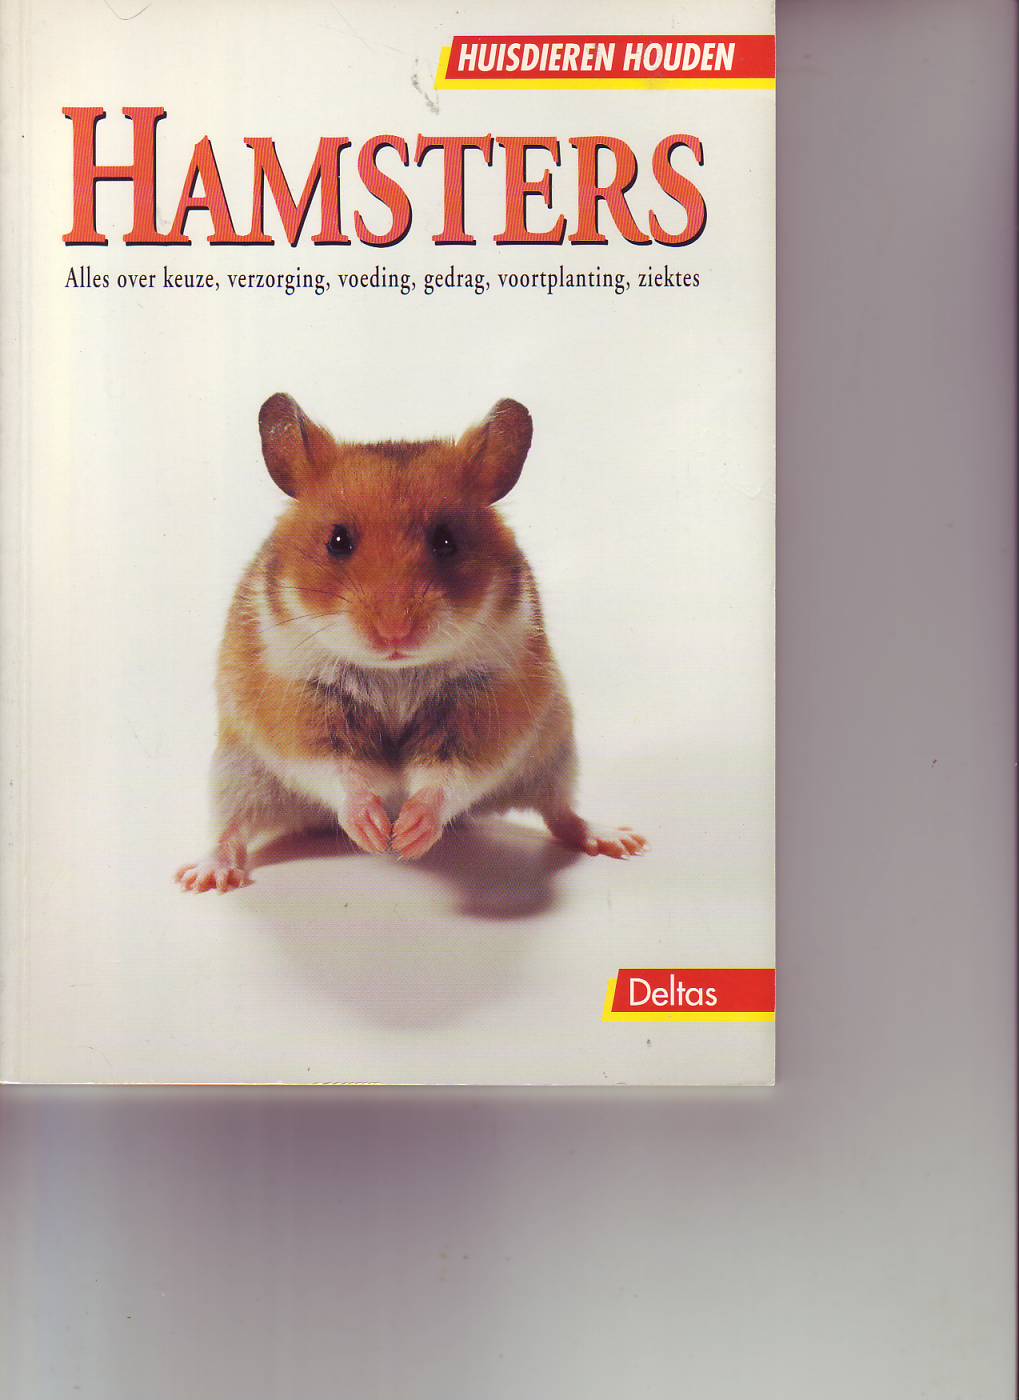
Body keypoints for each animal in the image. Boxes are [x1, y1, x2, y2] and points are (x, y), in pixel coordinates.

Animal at [176, 393, 647, 892]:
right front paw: (374, 832)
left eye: (446, 541)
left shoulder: (487, 704)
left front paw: (407, 836)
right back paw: (204, 878)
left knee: (560, 813)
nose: (395, 633)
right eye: (337, 541)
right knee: (230, 828)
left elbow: (450, 774)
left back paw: (620, 840)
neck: (395, 670)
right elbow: (337, 768)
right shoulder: (295, 704)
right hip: (236, 772)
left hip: (554, 753)